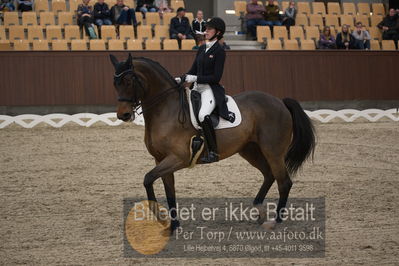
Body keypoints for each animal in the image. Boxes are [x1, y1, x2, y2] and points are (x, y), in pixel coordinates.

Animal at [109, 53, 316, 232]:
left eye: (129, 81)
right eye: (115, 83)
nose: (123, 115)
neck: (166, 109)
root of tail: (280, 101)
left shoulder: (178, 158)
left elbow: (148, 178)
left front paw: (159, 217)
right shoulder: (160, 160)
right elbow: (169, 191)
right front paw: (173, 226)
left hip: (273, 151)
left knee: (284, 182)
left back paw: (276, 221)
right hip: (250, 150)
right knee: (269, 175)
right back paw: (259, 210)